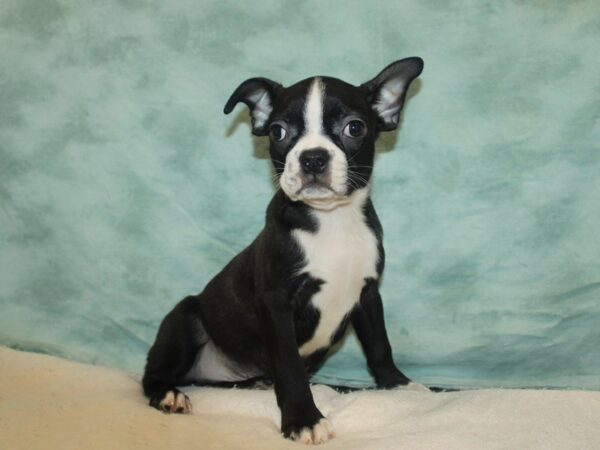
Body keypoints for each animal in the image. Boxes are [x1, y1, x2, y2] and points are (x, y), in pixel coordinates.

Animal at [144, 58, 426, 444]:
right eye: (278, 132)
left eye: (354, 127)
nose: (313, 158)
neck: (331, 221)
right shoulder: (277, 304)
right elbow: (290, 366)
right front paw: (303, 419)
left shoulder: (367, 293)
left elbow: (379, 342)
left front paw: (397, 385)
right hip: (185, 317)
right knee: (152, 372)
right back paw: (168, 394)